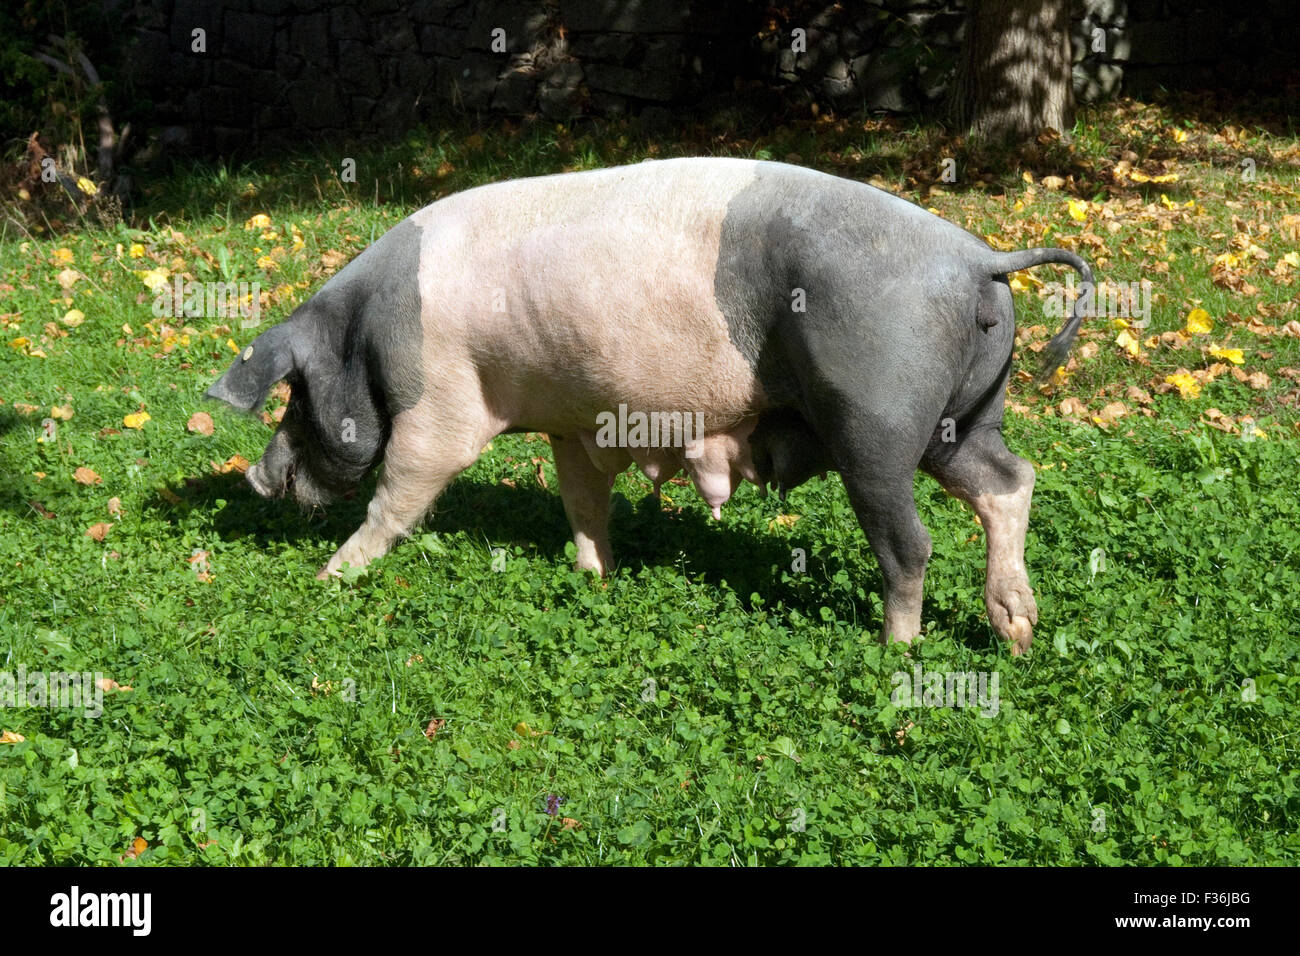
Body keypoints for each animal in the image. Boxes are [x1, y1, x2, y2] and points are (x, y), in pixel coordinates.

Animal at [205, 157, 1097, 655]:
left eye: (295, 395)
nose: (254, 478)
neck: (367, 332)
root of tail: (979, 258)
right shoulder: (572, 420)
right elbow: (581, 500)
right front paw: (595, 578)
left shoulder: (444, 401)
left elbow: (404, 488)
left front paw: (330, 578)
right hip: (962, 416)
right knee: (1009, 480)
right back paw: (1018, 635)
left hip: (875, 417)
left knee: (911, 543)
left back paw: (894, 654)